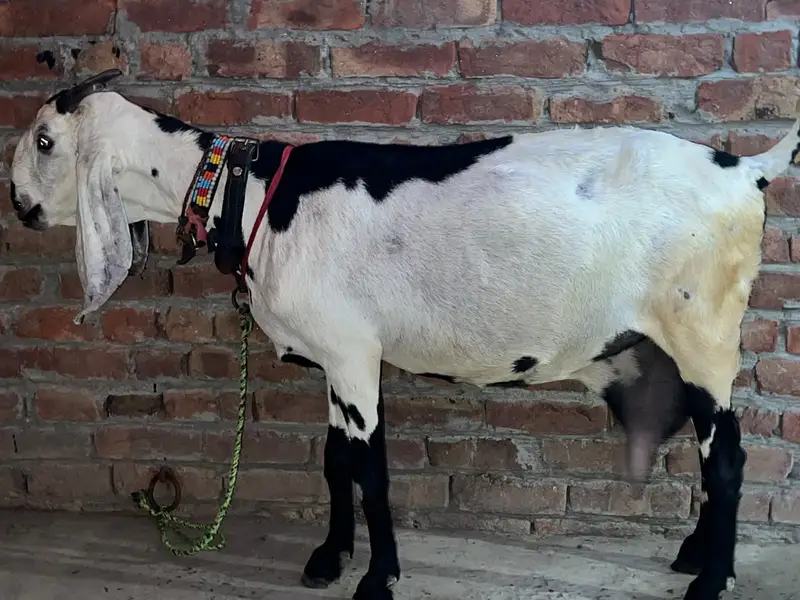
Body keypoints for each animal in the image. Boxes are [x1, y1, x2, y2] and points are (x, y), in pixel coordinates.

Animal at [10, 69, 800, 600]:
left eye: (45, 141)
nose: (17, 205)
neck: (251, 193)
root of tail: (746, 169)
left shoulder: (354, 355)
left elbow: (371, 471)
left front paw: (377, 580)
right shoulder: (336, 358)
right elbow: (335, 463)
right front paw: (328, 559)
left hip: (704, 332)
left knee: (728, 460)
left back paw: (709, 582)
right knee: (714, 450)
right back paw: (698, 555)